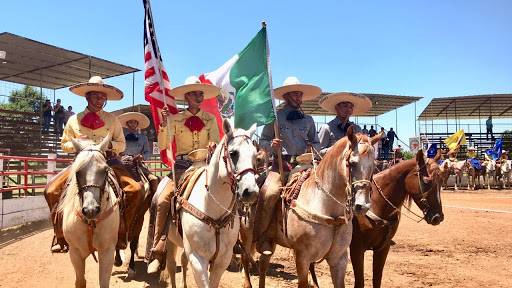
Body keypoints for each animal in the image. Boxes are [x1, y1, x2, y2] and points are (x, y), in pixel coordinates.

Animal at [56, 136, 120, 288]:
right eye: (78, 172)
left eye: (105, 170)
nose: (91, 210)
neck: (91, 223)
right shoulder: (75, 252)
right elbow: (80, 281)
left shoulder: (107, 252)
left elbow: (104, 283)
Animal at [165, 119, 260, 288]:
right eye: (233, 153)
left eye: (255, 155)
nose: (251, 191)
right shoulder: (197, 259)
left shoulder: (222, 260)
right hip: (170, 241)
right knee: (171, 265)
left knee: (182, 260)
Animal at [256, 128, 380, 288]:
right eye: (352, 163)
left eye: (374, 166)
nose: (362, 205)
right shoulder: (302, 257)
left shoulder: (339, 260)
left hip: (271, 241)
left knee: (263, 263)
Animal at [348, 151, 444, 288]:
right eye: (426, 181)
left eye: (442, 180)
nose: (438, 217)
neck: (375, 204)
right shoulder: (356, 249)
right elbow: (360, 282)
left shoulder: (383, 248)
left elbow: (377, 279)